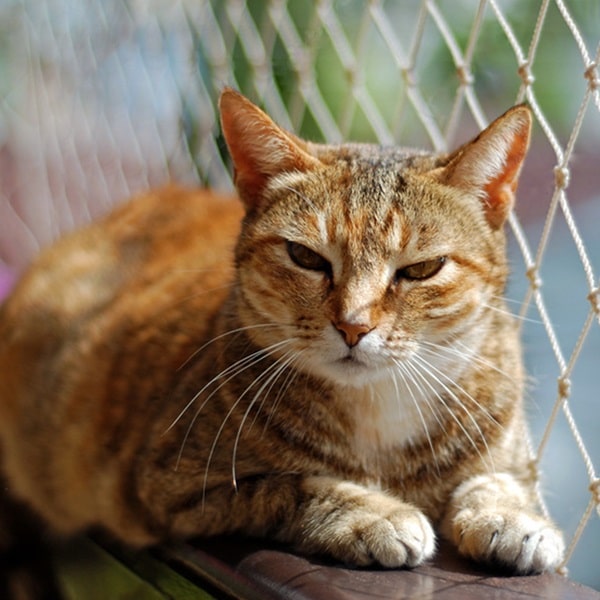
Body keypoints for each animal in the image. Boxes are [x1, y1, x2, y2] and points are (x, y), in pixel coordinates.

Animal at [0, 88, 564, 572]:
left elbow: (498, 480)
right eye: (305, 257)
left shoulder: (507, 451)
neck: (379, 414)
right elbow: (295, 484)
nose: (353, 325)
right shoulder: (166, 486)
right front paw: (375, 512)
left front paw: (513, 517)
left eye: (422, 269)